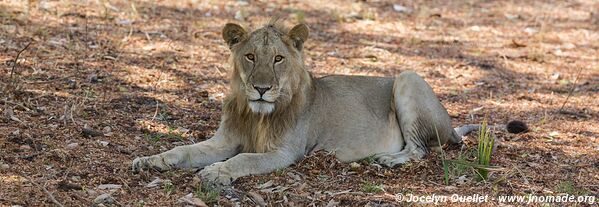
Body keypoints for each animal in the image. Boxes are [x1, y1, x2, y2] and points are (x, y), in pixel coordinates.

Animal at [130, 19, 482, 184]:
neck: (257, 114)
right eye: (250, 56)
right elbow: (183, 150)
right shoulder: (224, 140)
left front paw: (217, 172)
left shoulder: (286, 152)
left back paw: (387, 159)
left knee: (421, 150)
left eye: (278, 59)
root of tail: (451, 126)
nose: (261, 88)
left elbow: (244, 159)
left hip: (408, 77)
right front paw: (150, 160)